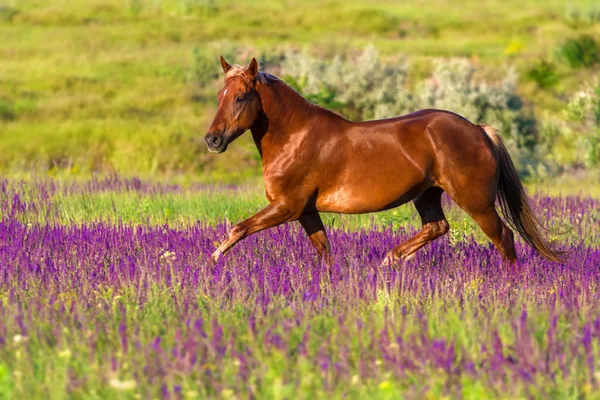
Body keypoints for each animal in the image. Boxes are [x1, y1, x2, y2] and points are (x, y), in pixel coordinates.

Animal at [205, 54, 564, 264]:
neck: (295, 137)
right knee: (437, 226)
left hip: (476, 202)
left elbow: (238, 230)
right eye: (220, 95)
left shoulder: (287, 207)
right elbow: (325, 252)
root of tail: (478, 130)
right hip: (427, 195)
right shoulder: (305, 211)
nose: (213, 140)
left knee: (503, 237)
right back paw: (391, 260)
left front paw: (213, 262)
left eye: (240, 97)